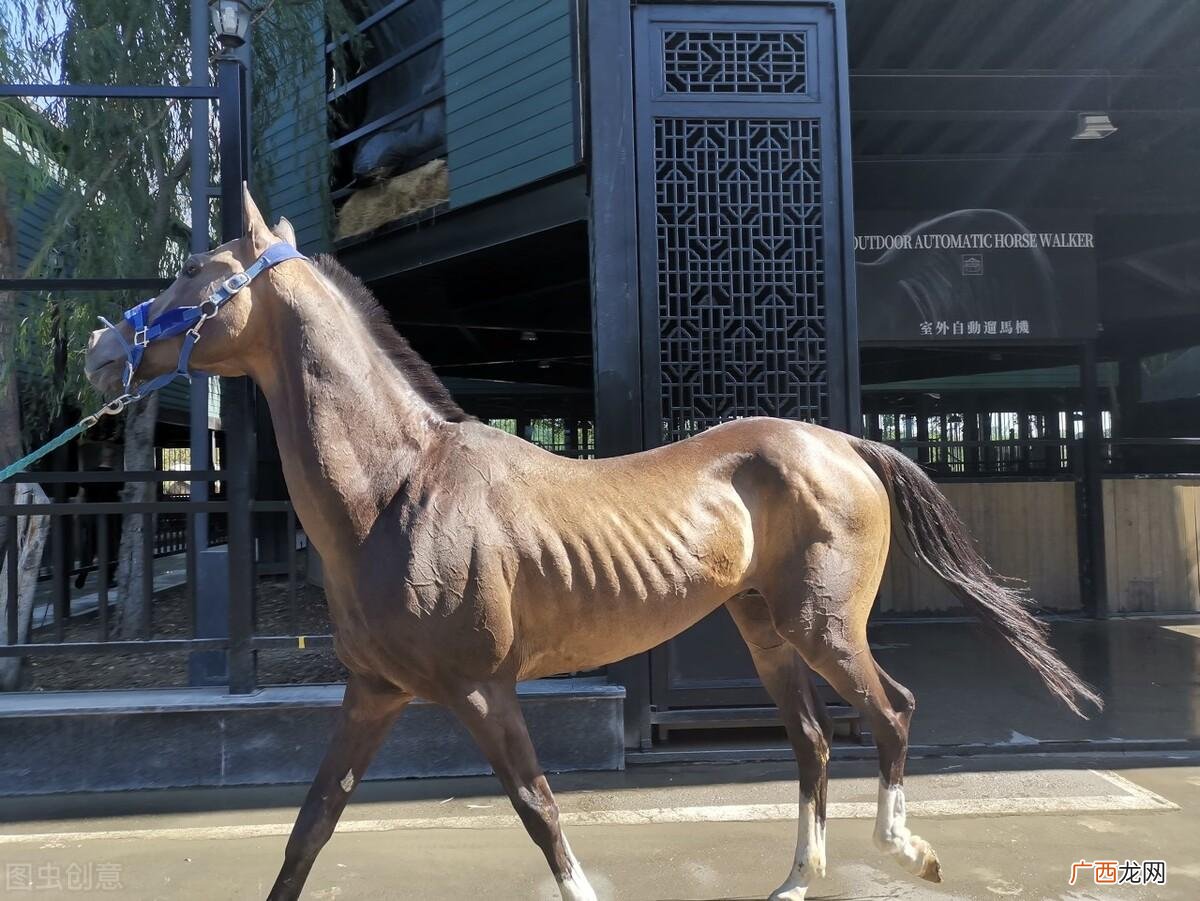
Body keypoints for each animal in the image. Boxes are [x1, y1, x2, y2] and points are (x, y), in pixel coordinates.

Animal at [84, 187, 1101, 901]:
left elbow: (541, 813)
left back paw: (907, 850)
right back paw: (795, 878)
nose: (99, 349)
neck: (399, 491)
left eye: (196, 267)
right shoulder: (373, 693)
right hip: (764, 628)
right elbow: (310, 825)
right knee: (812, 742)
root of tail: (842, 442)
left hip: (823, 625)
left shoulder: (482, 689)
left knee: (890, 713)